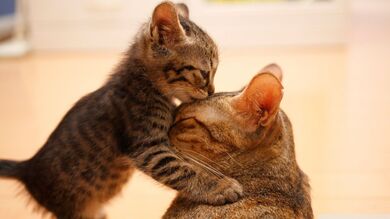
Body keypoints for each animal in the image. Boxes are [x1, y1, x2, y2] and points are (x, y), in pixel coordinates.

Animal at [0, 2, 244, 219]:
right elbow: (182, 170)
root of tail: (28, 167)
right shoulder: (147, 147)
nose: (212, 91)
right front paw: (219, 186)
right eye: (205, 73)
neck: (146, 84)